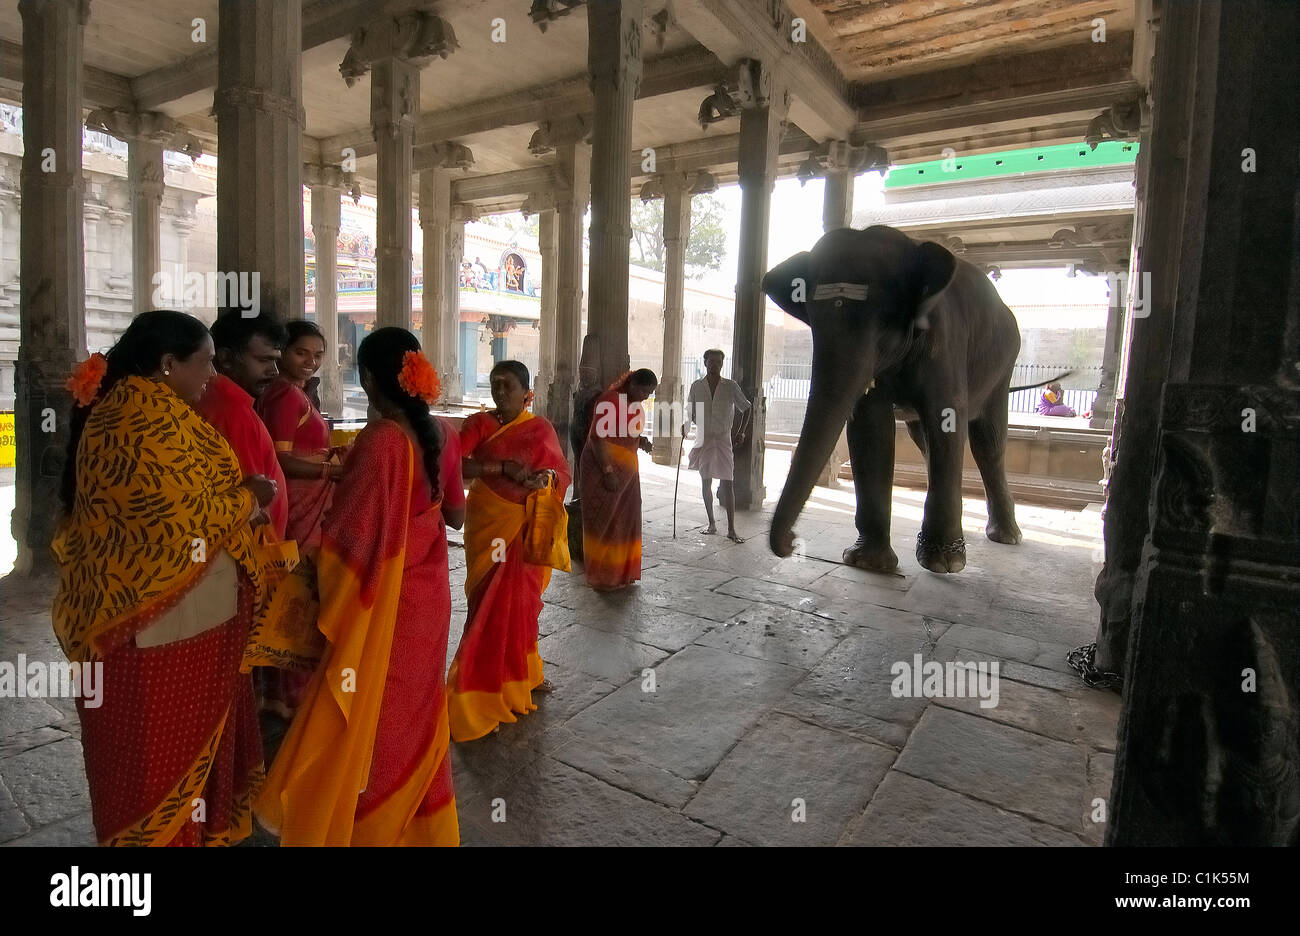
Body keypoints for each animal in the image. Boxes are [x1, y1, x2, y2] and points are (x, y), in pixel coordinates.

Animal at [759, 228, 1055, 577]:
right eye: (813, 322)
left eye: (885, 324)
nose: (791, 543)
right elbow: (870, 426)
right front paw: (868, 563)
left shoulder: (946, 339)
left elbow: (946, 416)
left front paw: (944, 564)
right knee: (925, 439)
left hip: (1004, 363)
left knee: (989, 442)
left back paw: (1006, 536)